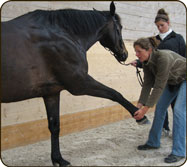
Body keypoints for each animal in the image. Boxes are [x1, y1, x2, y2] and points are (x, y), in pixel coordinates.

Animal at [1, 1, 148, 166]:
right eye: (119, 28)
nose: (124, 54)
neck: (64, 35)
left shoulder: (51, 93)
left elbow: (55, 126)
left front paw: (58, 159)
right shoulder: (80, 84)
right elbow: (115, 94)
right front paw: (139, 115)